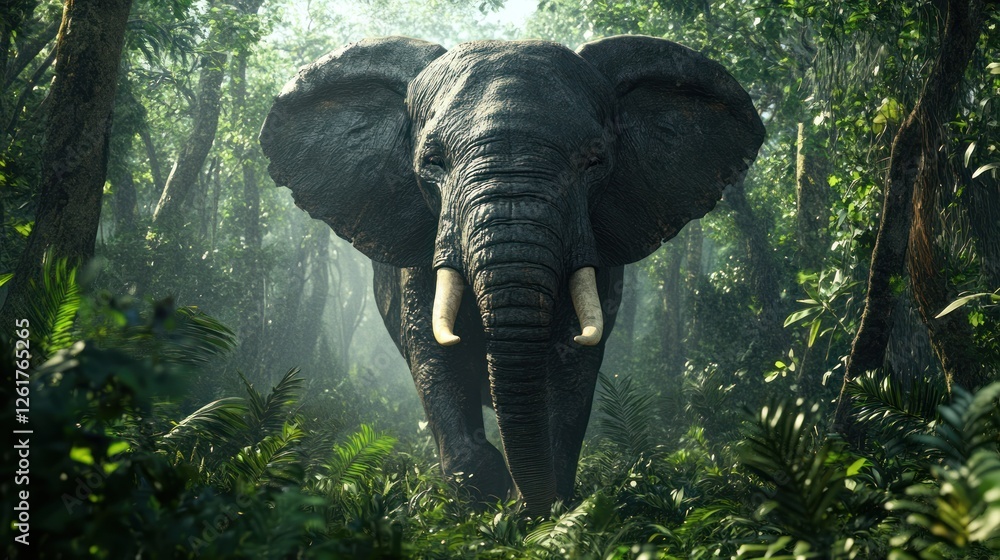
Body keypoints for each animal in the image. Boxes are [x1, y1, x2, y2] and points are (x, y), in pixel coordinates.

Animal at [259, 35, 764, 516]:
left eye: (595, 162)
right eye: (432, 162)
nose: (522, 504)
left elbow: (572, 365)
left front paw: (538, 512)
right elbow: (433, 357)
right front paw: (487, 503)